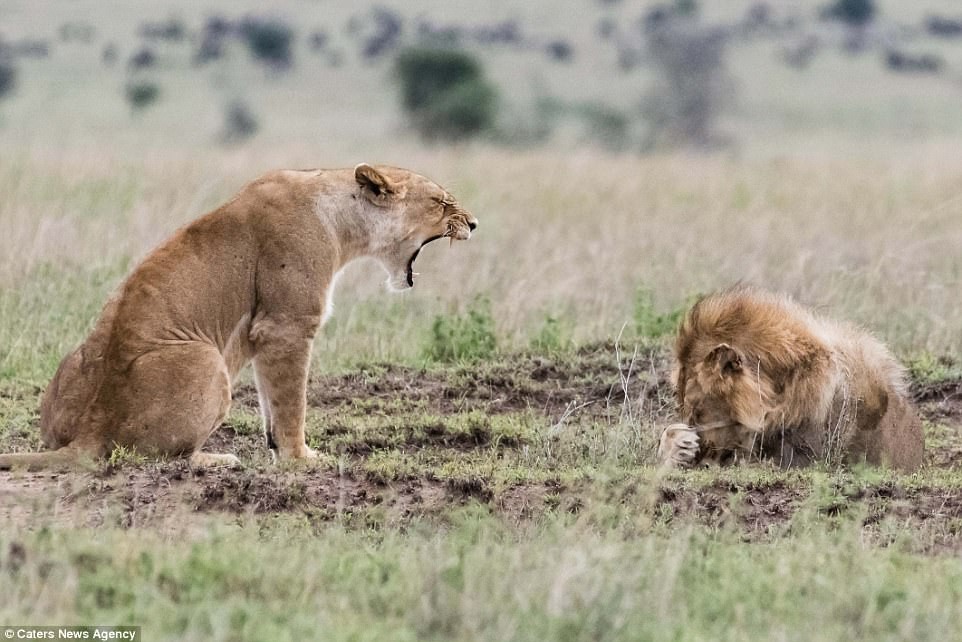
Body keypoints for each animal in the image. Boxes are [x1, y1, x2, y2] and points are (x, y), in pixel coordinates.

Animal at [0, 162, 476, 468]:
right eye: (441, 202)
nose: (473, 224)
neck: (343, 220)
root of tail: (91, 428)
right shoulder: (287, 325)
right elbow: (291, 401)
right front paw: (301, 459)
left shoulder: (268, 334)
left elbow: (272, 404)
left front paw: (278, 449)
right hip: (206, 360)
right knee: (150, 456)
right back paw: (216, 458)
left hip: (76, 363)